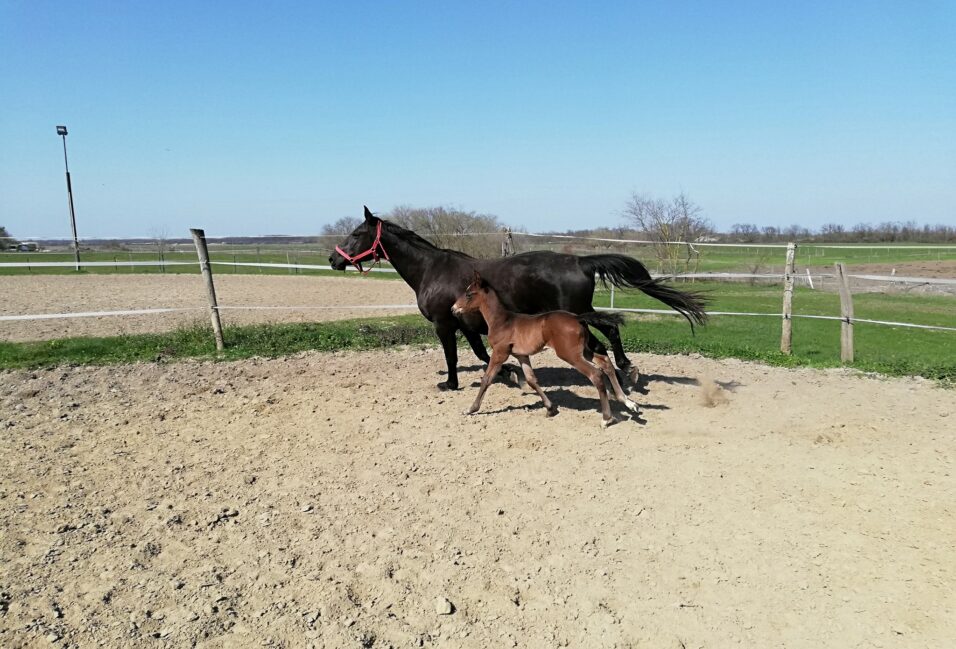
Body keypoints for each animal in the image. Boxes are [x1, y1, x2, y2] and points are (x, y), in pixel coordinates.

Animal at [330, 208, 708, 390]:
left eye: (356, 233)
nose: (334, 259)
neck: (432, 270)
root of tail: (580, 261)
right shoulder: (468, 324)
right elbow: (482, 354)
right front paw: (509, 373)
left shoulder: (444, 324)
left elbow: (453, 356)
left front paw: (450, 384)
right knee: (608, 334)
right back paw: (626, 372)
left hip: (577, 313)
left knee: (610, 331)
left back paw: (627, 370)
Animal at [452, 270, 640, 428]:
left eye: (469, 294)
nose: (454, 309)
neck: (502, 321)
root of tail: (578, 318)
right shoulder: (521, 355)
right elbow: (531, 380)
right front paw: (550, 408)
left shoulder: (500, 353)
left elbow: (487, 379)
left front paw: (471, 409)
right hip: (584, 351)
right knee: (605, 363)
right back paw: (629, 402)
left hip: (569, 354)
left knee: (596, 374)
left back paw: (606, 418)